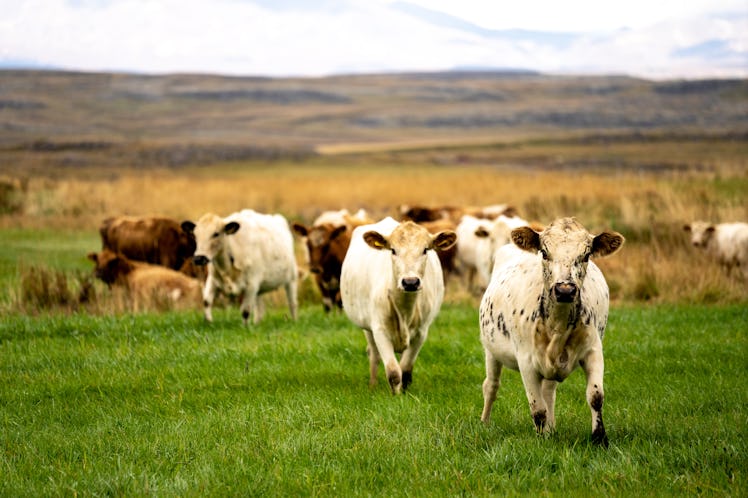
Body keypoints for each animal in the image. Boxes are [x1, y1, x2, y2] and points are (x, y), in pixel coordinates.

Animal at [338, 217, 456, 392]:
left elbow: (405, 370)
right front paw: (395, 395)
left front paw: (404, 393)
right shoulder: (379, 329)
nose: (410, 282)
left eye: (425, 250)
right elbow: (393, 372)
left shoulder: (421, 332)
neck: (404, 309)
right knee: (373, 353)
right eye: (393, 250)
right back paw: (373, 384)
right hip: (367, 326)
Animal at [480, 218, 624, 448]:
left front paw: (600, 438)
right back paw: (485, 422)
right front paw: (541, 440)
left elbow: (595, 396)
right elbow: (537, 408)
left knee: (548, 392)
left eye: (586, 255)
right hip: (491, 351)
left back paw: (551, 429)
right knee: (491, 386)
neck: (558, 324)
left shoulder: (593, 351)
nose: (565, 290)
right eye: (544, 252)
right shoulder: (526, 361)